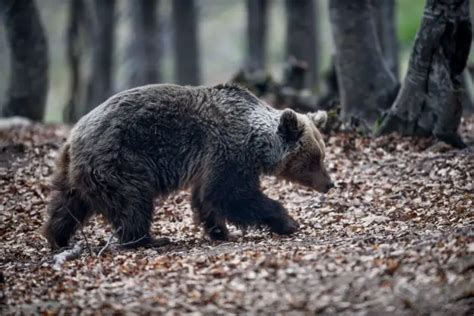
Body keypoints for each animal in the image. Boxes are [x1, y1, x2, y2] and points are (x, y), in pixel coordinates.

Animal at [43, 84, 334, 249]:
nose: (330, 184)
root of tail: (73, 137)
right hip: (120, 158)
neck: (256, 144)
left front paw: (220, 231)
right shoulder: (228, 150)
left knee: (67, 203)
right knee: (133, 200)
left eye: (321, 155)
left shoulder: (210, 161)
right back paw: (147, 240)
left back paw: (57, 238)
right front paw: (287, 221)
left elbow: (207, 197)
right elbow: (232, 195)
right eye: (314, 159)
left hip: (75, 173)